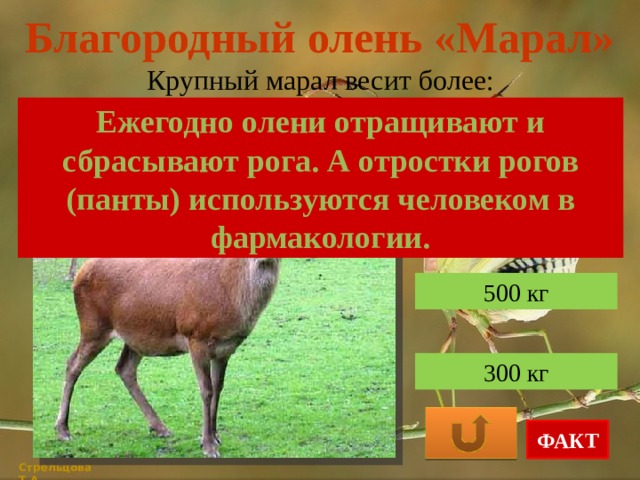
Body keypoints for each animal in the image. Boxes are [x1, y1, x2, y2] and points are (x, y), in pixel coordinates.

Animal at [55, 257, 280, 458]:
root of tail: (82, 271)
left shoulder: (226, 349)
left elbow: (218, 388)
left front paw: (215, 437)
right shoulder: (196, 337)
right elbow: (206, 390)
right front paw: (207, 445)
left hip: (136, 336)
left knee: (124, 368)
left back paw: (159, 427)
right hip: (94, 327)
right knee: (72, 364)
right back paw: (63, 430)